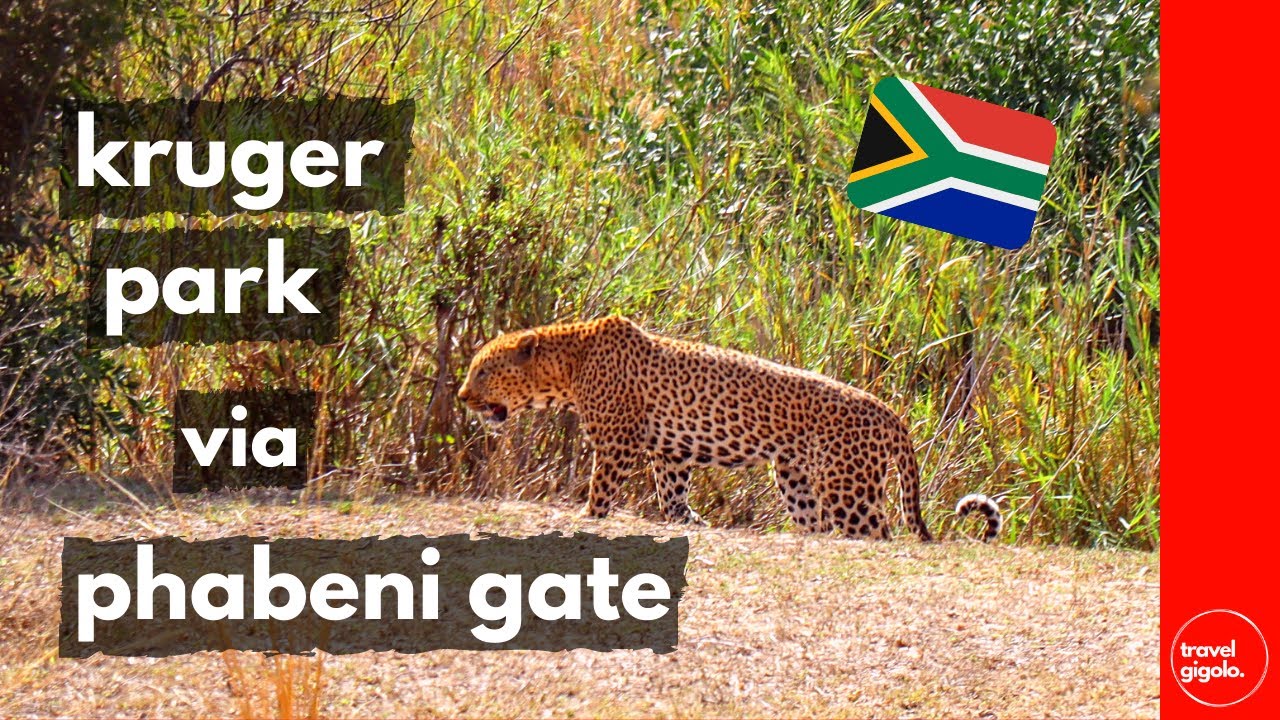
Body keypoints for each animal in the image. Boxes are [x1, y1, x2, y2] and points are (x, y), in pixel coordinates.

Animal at [458, 315, 1002, 541]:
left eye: (482, 371)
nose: (462, 397)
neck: (566, 366)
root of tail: (889, 411)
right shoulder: (670, 453)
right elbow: (672, 495)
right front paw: (688, 522)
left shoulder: (617, 442)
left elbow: (600, 491)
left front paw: (588, 517)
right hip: (795, 478)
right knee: (817, 523)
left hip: (850, 487)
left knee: (877, 531)